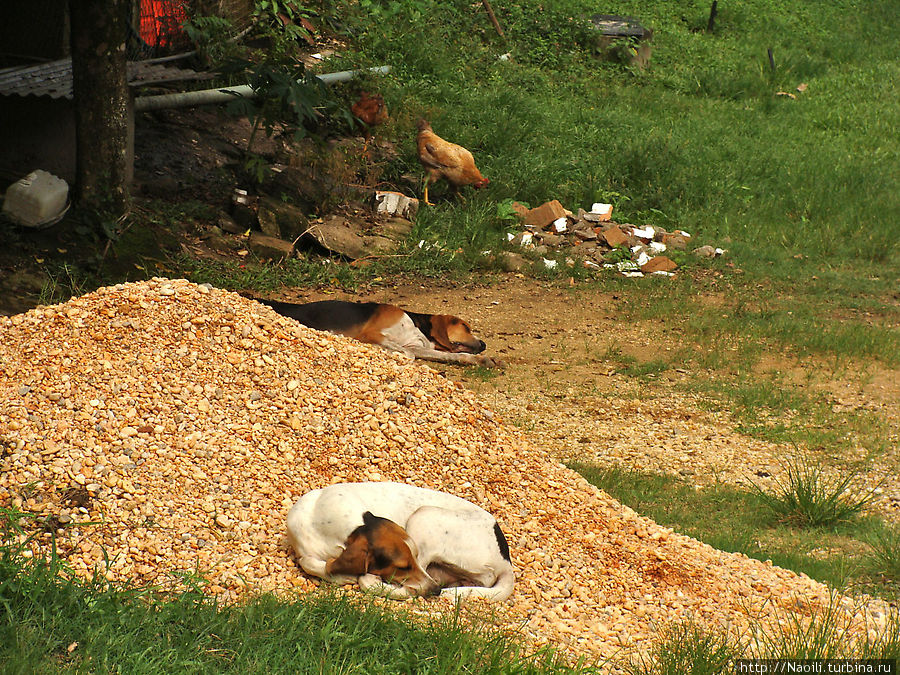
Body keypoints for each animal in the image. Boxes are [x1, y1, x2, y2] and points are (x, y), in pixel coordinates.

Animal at [256, 298, 502, 368]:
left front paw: (480, 360)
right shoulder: (372, 334)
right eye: (466, 327)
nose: (483, 344)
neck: (416, 324)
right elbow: (407, 354)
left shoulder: (418, 346)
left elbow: (452, 355)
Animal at [284, 480, 516, 604]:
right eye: (402, 566)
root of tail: (506, 561)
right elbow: (309, 561)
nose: (435, 591)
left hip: (424, 516)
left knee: (408, 589)